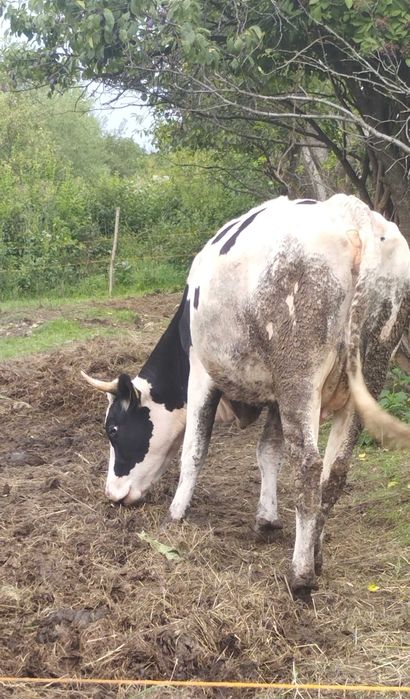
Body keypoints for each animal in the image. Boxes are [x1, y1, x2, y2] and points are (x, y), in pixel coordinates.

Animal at [82, 194, 410, 597]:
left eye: (112, 429)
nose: (112, 494)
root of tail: (354, 214)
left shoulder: (202, 374)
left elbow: (194, 450)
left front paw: (175, 515)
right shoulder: (275, 398)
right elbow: (268, 451)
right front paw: (266, 518)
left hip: (299, 377)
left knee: (309, 465)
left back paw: (301, 573)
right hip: (368, 373)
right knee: (334, 472)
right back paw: (315, 554)